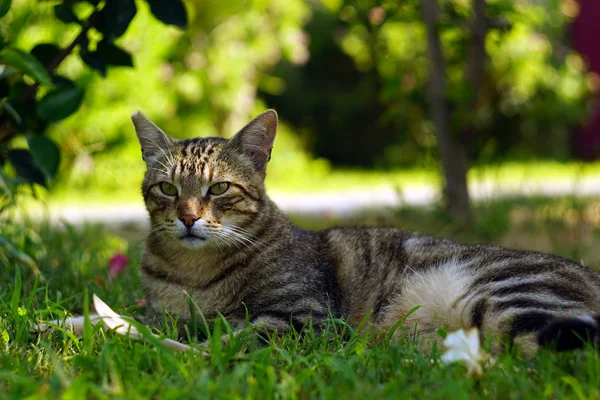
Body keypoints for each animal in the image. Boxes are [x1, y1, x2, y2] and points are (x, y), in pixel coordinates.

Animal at [131, 110, 600, 356]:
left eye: (219, 188)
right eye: (168, 189)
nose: (188, 218)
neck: (193, 275)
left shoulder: (305, 319)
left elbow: (230, 337)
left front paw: (178, 349)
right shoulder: (160, 309)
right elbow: (152, 319)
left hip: (509, 296)